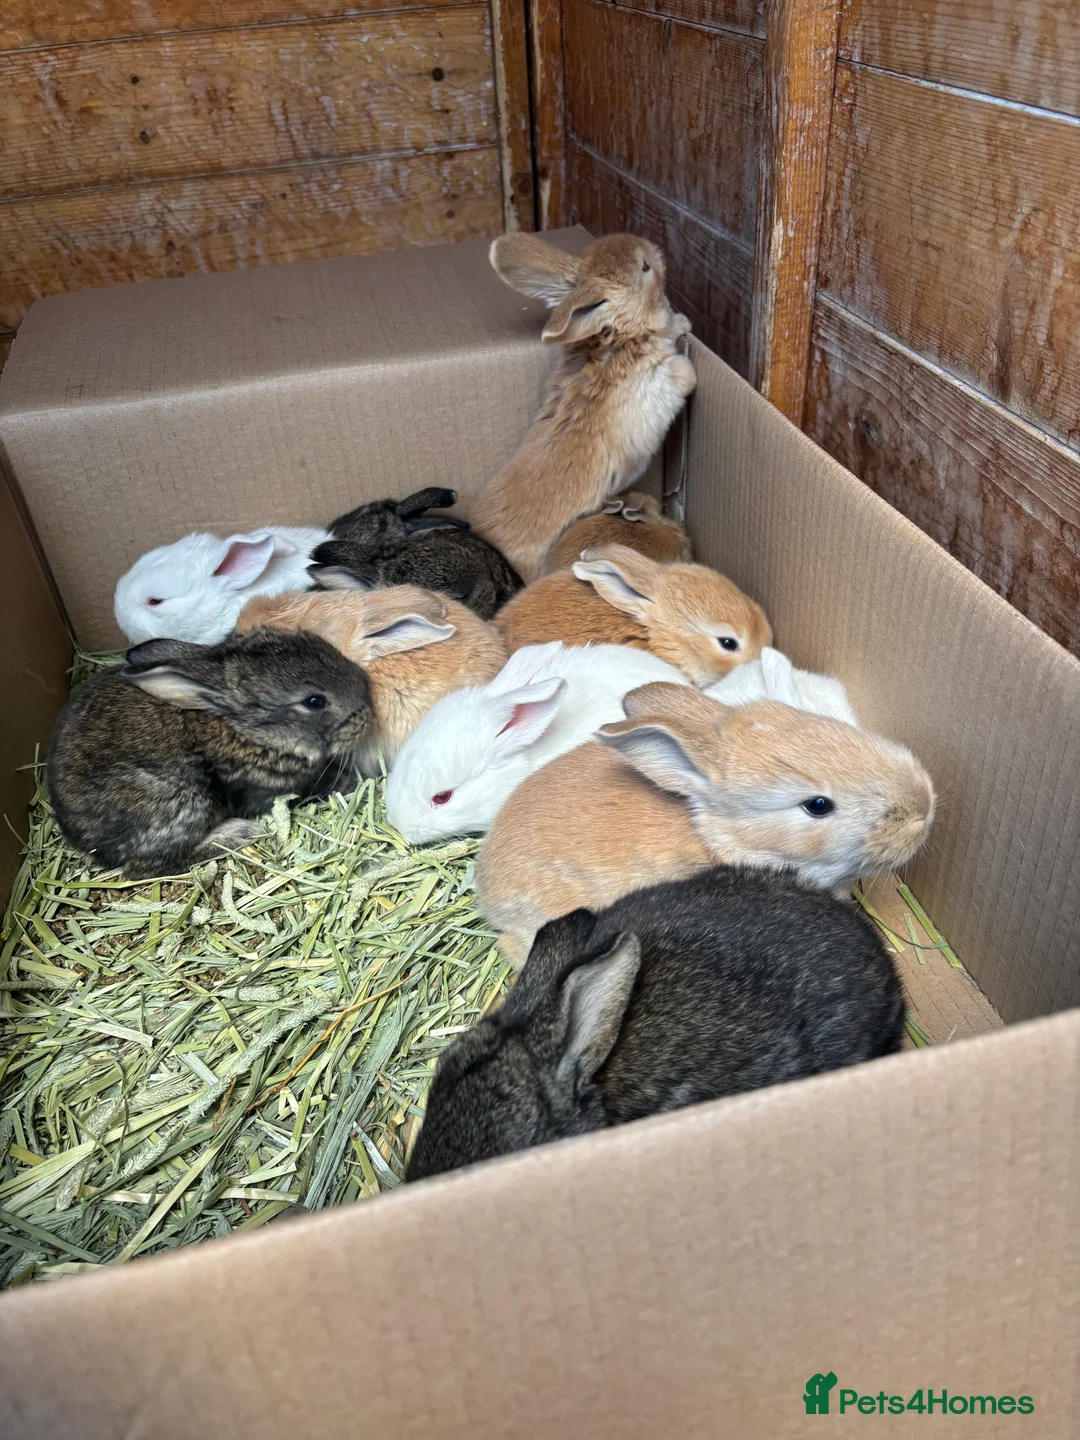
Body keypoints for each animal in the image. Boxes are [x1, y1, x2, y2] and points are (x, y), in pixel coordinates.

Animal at [47, 629, 373, 880]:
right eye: (314, 701)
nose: (368, 699)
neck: (242, 729)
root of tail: (80, 839)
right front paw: (349, 781)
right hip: (187, 800)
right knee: (142, 868)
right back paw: (239, 832)